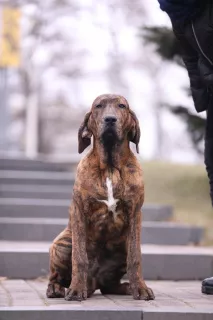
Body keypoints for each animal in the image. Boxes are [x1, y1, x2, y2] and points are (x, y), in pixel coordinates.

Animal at [45, 94, 154, 302]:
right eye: (98, 106)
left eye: (122, 106)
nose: (110, 119)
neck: (110, 167)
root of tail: (94, 282)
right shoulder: (79, 211)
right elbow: (79, 258)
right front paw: (76, 290)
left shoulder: (135, 213)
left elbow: (135, 258)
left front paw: (141, 288)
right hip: (62, 243)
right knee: (56, 275)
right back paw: (57, 288)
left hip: (121, 247)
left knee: (109, 285)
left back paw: (127, 287)